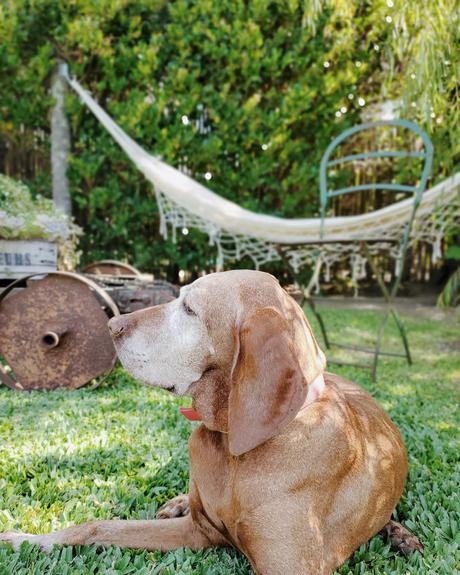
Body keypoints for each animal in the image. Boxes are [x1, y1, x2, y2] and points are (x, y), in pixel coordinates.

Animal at [0, 272, 424, 575]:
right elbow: (94, 526)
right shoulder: (198, 531)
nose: (111, 325)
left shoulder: (288, 567)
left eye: (189, 309)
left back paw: (403, 536)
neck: (235, 448)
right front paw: (27, 539)